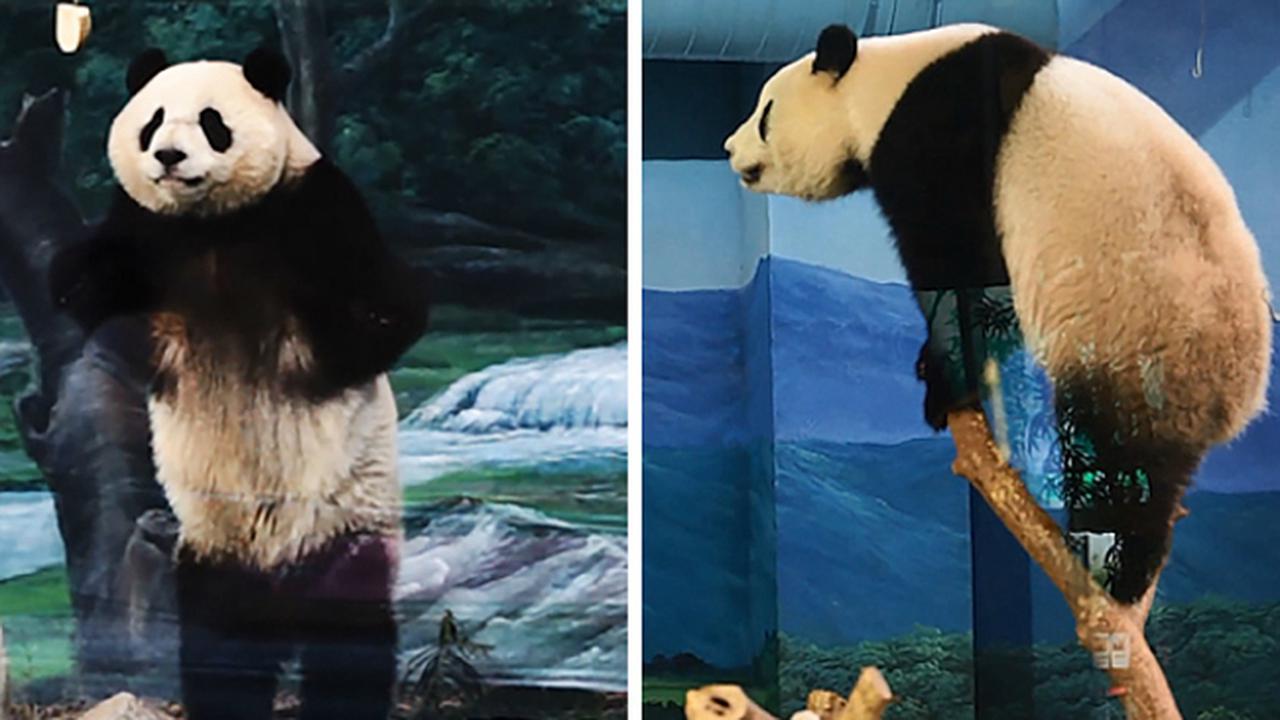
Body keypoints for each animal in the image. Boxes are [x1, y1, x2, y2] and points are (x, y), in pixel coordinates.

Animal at [48, 47, 427, 719]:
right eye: (152, 122)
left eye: (210, 122)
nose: (168, 156)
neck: (213, 225)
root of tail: (279, 586)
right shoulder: (142, 233)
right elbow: (85, 292)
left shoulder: (316, 209)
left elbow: (386, 311)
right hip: (212, 542)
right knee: (219, 641)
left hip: (344, 523)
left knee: (348, 636)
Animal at [725, 24, 1272, 604]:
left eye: (765, 113)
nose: (729, 147)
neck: (881, 85)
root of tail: (1235, 400)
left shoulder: (940, 134)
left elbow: (960, 263)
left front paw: (944, 382)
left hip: (1137, 336)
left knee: (1116, 460)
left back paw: (1112, 562)